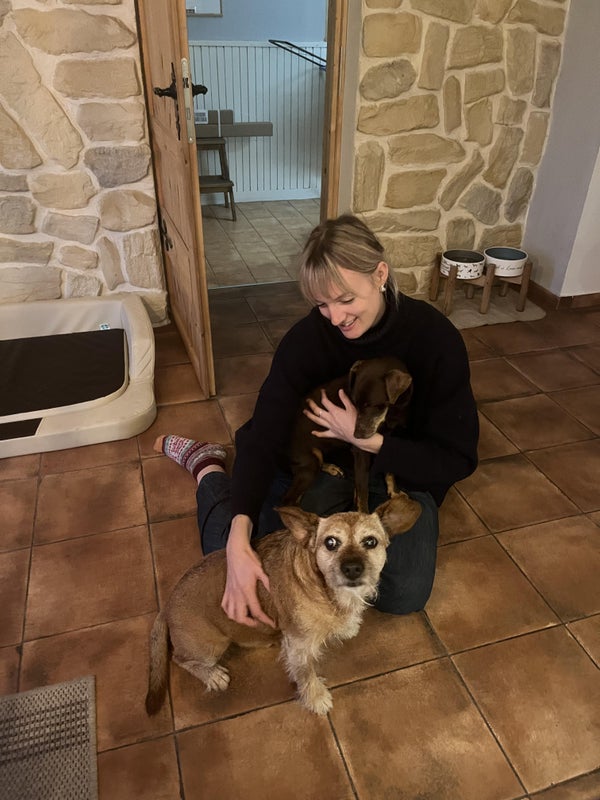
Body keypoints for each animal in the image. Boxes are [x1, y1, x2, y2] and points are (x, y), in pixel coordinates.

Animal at [145, 494, 421, 716]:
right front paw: (317, 698)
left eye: (370, 542)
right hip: (210, 646)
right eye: (330, 542)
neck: (325, 590)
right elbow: (306, 674)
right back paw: (212, 675)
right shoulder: (299, 647)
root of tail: (166, 607)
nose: (352, 568)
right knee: (181, 659)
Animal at [283, 356, 413, 512]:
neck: (393, 410)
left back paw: (331, 468)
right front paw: (363, 514)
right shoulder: (361, 451)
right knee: (288, 501)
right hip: (309, 463)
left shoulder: (389, 439)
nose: (356, 436)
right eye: (354, 404)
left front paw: (395, 492)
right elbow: (363, 492)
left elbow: (389, 468)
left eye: (372, 405)